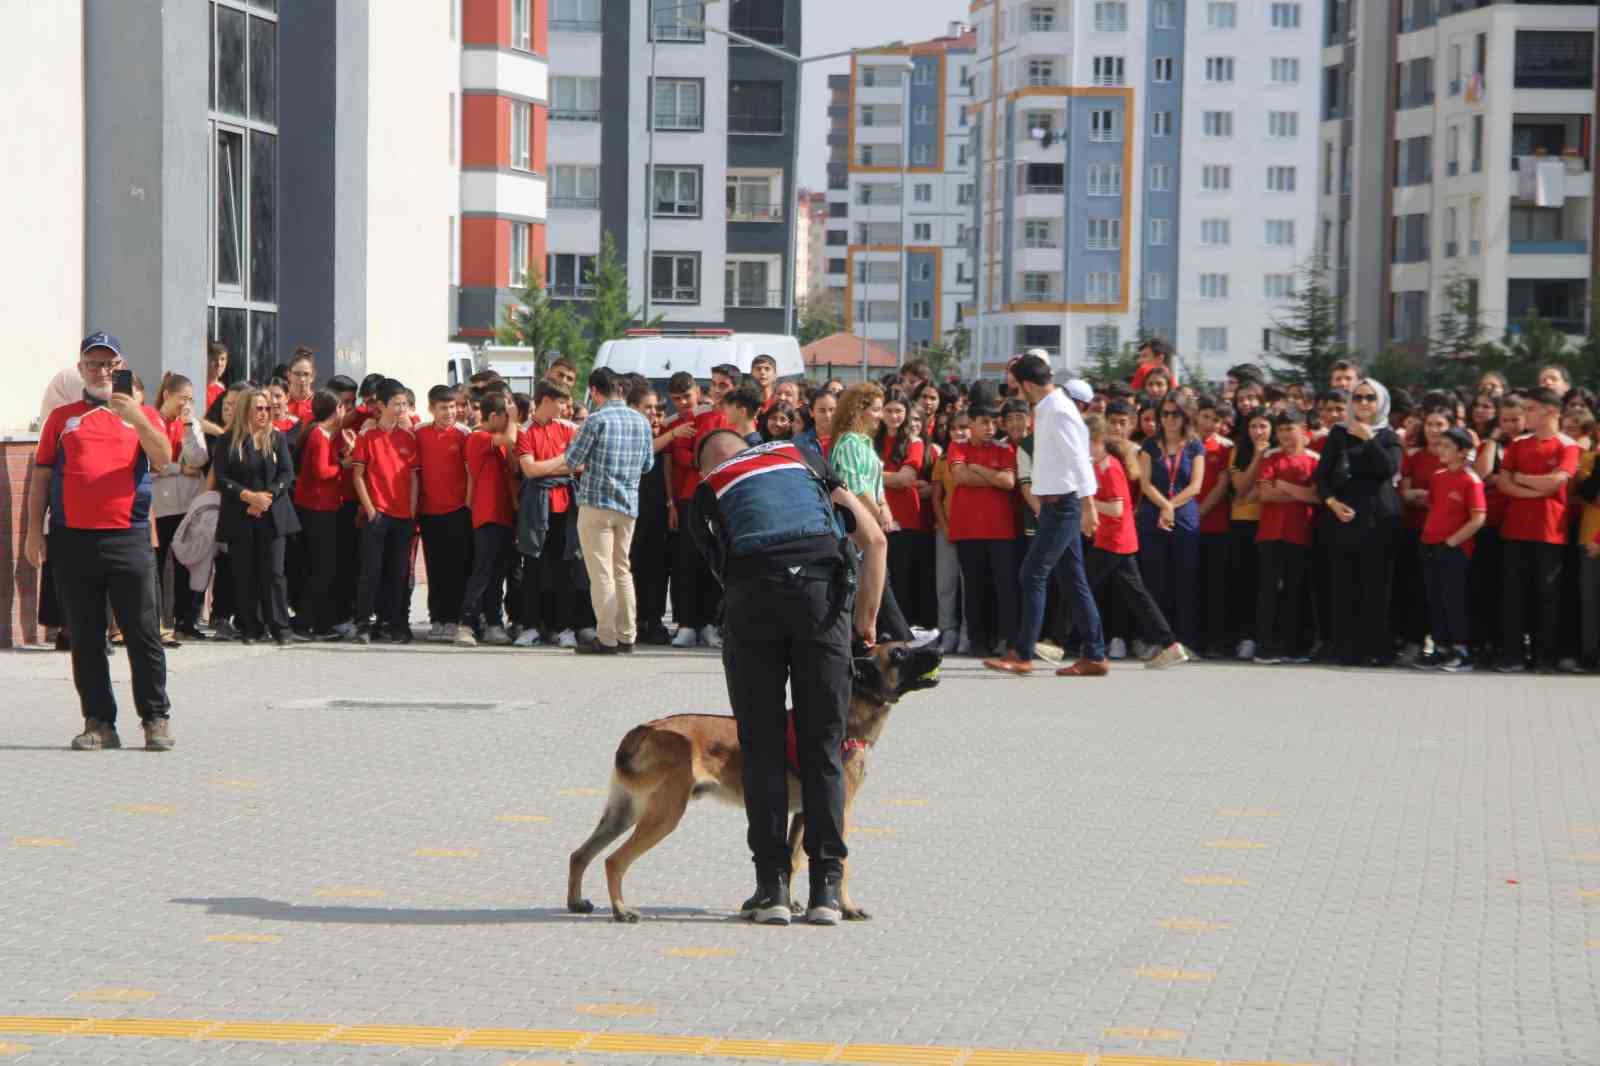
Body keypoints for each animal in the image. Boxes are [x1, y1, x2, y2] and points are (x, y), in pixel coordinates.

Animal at [566, 640, 934, 921]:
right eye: (899, 653)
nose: (938, 647)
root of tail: (645, 728)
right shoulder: (836, 812)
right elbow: (839, 860)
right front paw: (845, 907)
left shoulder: (801, 814)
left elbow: (792, 859)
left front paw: (785, 901)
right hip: (663, 815)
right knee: (614, 860)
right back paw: (621, 910)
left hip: (622, 813)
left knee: (580, 854)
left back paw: (576, 902)